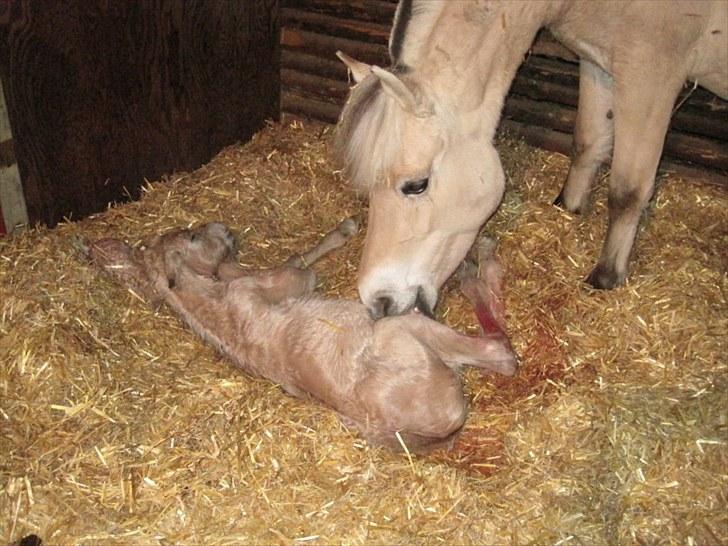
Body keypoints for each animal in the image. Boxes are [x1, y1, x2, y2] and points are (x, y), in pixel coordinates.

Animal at [88, 218, 516, 450]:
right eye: (192, 238)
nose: (222, 229)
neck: (214, 304)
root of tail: (439, 430)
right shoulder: (284, 281)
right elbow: (300, 261)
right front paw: (345, 229)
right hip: (402, 329)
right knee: (501, 353)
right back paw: (476, 265)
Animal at [332, 0, 724, 316]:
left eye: (416, 185)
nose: (377, 300)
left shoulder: (650, 78)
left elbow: (628, 190)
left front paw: (606, 275)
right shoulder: (598, 63)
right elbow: (588, 142)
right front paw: (568, 206)